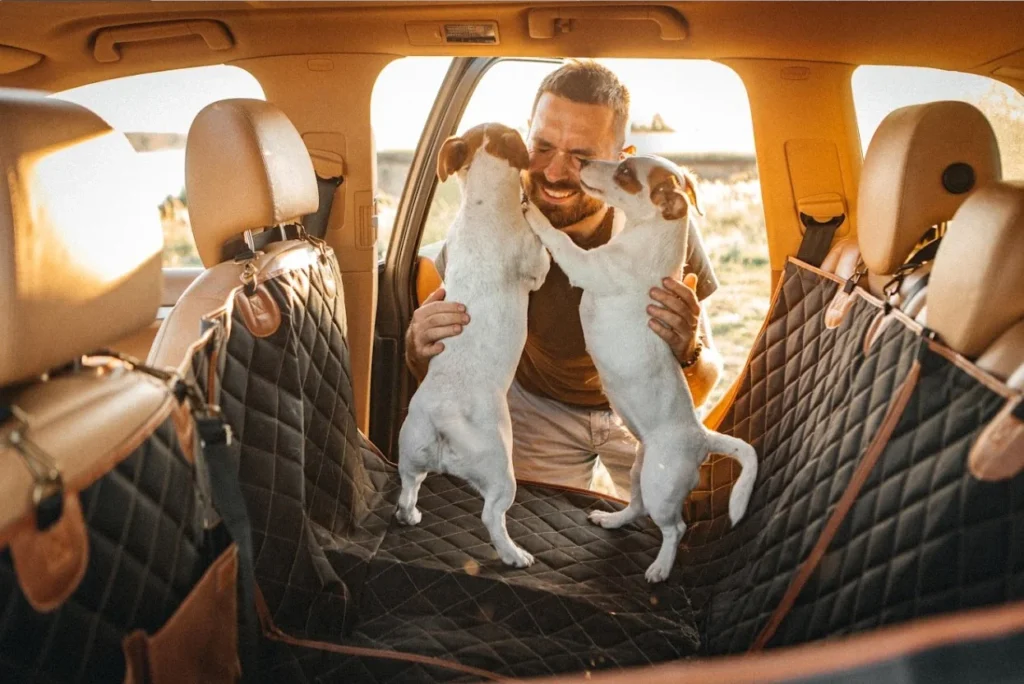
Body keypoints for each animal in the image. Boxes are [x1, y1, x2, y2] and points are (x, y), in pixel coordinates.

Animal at [393, 121, 552, 565]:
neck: (482, 202)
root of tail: (445, 416)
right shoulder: (534, 261)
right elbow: (542, 263)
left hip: (410, 454)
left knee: (407, 489)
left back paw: (409, 515)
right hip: (501, 474)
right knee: (491, 516)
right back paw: (514, 555)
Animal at [524, 154, 757, 581]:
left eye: (625, 174)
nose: (582, 160)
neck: (647, 238)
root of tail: (701, 438)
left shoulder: (585, 265)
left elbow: (558, 238)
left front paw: (532, 208)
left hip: (661, 486)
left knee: (673, 527)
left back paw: (661, 567)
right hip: (639, 471)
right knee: (635, 507)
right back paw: (611, 520)